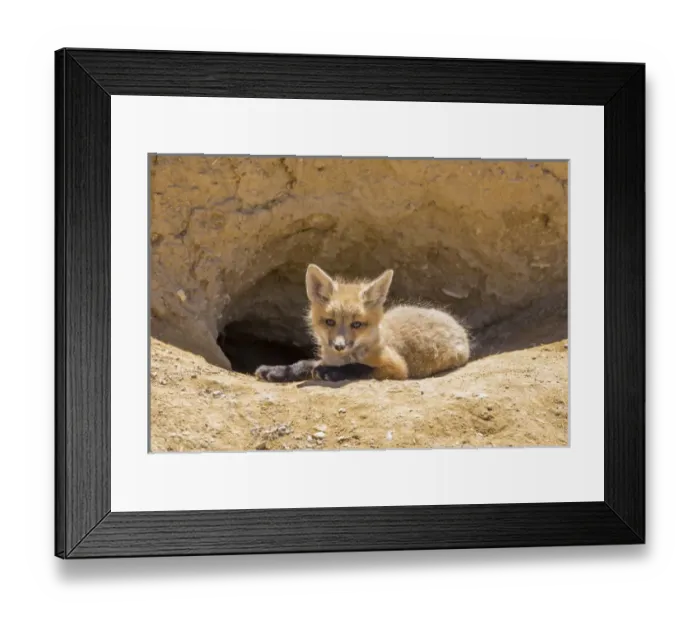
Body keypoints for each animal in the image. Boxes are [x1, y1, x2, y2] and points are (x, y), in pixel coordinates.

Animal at [254, 264, 471, 383]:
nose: (339, 346)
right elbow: (305, 364)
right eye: (330, 322)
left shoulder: (398, 368)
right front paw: (278, 370)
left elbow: (359, 367)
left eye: (357, 324)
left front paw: (333, 373)